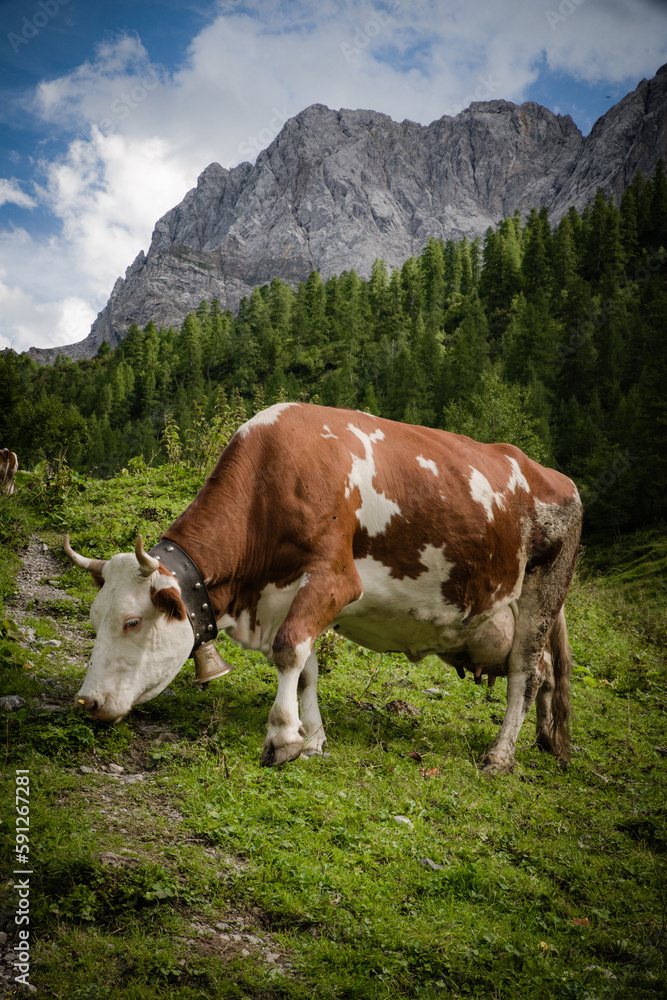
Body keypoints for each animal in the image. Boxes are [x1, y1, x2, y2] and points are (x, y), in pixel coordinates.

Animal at [65, 402, 580, 776]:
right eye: (94, 618)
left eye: (132, 621)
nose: (86, 702)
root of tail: (555, 476)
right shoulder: (293, 594)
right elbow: (306, 667)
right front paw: (312, 738)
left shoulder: (336, 578)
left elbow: (288, 649)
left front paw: (282, 738)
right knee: (547, 670)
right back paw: (546, 741)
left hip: (543, 591)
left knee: (525, 674)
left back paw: (500, 755)